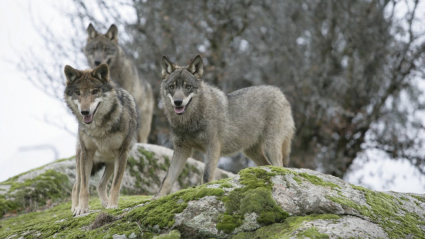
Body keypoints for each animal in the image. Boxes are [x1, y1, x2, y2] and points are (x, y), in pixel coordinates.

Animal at [63, 62, 139, 216]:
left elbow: (115, 185)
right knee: (76, 187)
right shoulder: (87, 153)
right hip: (81, 160)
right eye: (78, 92)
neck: (98, 128)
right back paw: (75, 207)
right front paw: (82, 209)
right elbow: (84, 188)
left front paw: (112, 205)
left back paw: (105, 203)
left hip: (111, 162)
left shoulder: (122, 153)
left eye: (94, 91)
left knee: (100, 184)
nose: (84, 112)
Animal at [154, 55, 294, 197]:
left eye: (188, 86)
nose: (178, 102)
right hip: (251, 151)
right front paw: (157, 198)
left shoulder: (213, 146)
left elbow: (206, 176)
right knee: (268, 165)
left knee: (280, 166)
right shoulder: (182, 149)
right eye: (172, 87)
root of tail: (280, 93)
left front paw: (204, 191)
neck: (189, 122)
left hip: (271, 145)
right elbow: (167, 179)